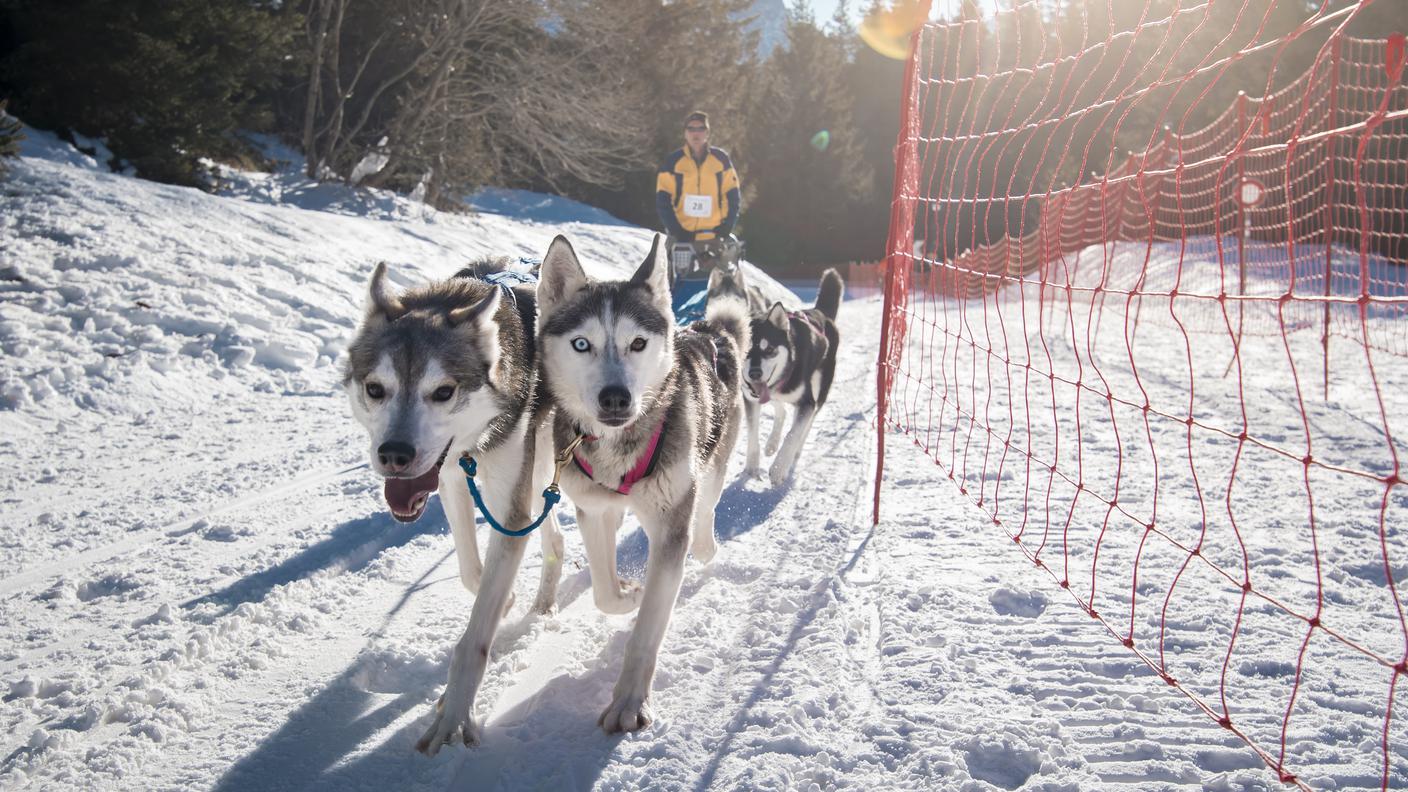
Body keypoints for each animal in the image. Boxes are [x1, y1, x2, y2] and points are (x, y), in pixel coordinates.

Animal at [339, 260, 560, 749]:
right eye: (376, 389)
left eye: (443, 392)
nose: (394, 454)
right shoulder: (453, 481)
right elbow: (472, 575)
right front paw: (506, 599)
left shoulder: (509, 509)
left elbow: (475, 637)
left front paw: (456, 714)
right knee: (555, 536)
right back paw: (542, 603)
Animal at [535, 231, 749, 732]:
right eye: (581, 344)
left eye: (637, 343)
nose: (616, 397)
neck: (618, 447)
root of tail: (708, 332)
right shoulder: (592, 509)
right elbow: (604, 593)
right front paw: (627, 594)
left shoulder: (670, 524)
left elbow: (649, 626)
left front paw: (630, 701)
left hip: (712, 462)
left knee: (707, 510)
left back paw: (706, 547)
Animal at [743, 267, 839, 484]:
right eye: (745, 351)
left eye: (769, 349)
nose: (755, 373)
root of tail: (819, 313)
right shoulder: (750, 398)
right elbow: (752, 434)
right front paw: (752, 466)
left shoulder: (807, 403)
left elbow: (793, 434)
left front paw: (779, 468)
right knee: (781, 410)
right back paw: (772, 444)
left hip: (819, 390)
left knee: (804, 426)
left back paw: (793, 453)